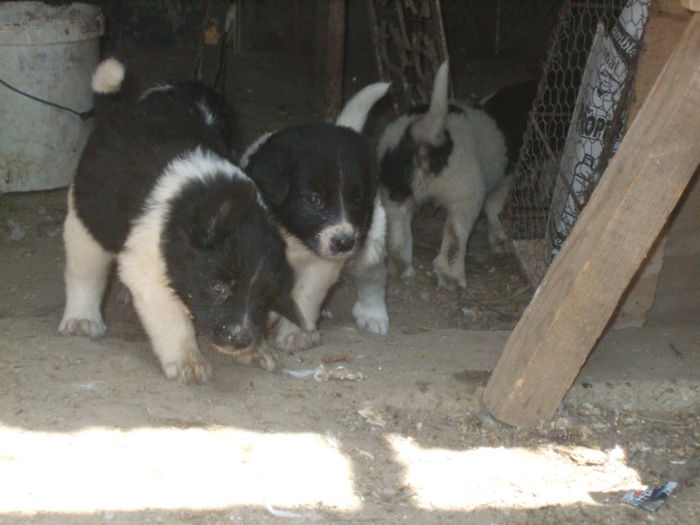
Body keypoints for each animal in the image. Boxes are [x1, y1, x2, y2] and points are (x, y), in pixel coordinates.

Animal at [59, 58, 298, 380]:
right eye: (218, 287)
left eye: (264, 296)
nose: (239, 339)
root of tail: (117, 111)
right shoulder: (146, 265)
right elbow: (171, 318)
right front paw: (187, 359)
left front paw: (256, 349)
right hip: (88, 216)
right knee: (84, 270)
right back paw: (82, 319)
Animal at [241, 83, 392, 352]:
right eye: (314, 199)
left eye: (358, 200)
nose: (344, 243)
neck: (292, 235)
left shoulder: (322, 264)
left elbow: (306, 296)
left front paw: (295, 333)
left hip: (369, 242)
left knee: (373, 276)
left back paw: (373, 314)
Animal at [378, 62, 508, 290]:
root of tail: (422, 134)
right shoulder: (504, 181)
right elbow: (494, 209)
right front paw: (499, 239)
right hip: (465, 196)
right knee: (455, 240)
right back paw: (452, 278)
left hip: (394, 196)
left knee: (398, 238)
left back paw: (403, 269)